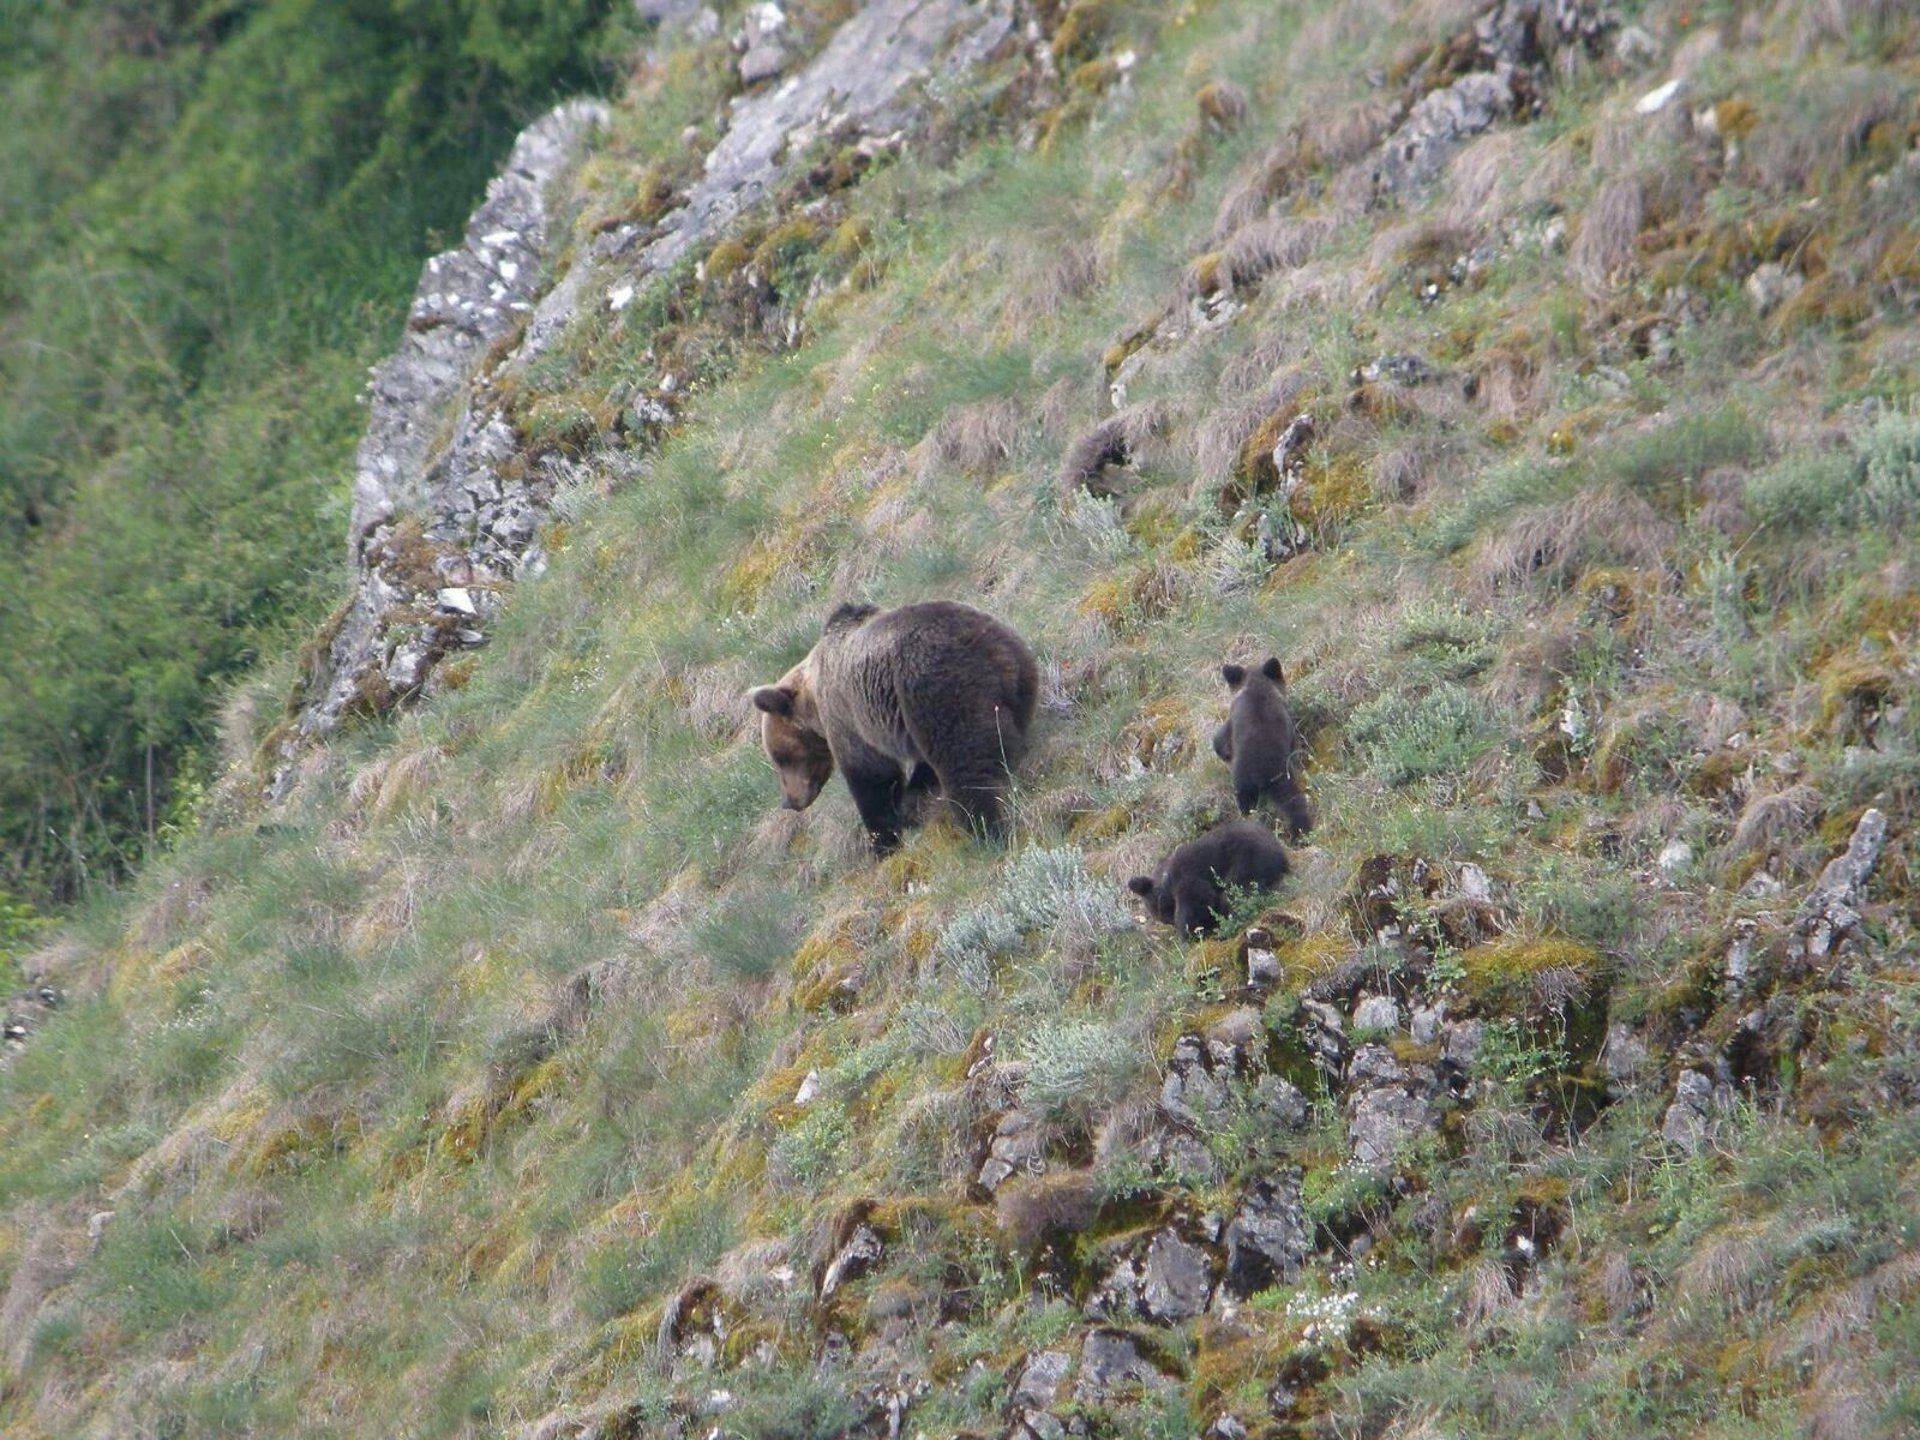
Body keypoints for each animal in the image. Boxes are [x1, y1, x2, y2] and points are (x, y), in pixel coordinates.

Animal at [744, 599, 1036, 852]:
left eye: (780, 758)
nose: (790, 802)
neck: (813, 701)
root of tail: (980, 640)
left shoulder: (847, 717)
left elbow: (871, 776)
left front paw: (882, 840)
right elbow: (918, 767)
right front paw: (911, 804)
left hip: (935, 685)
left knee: (963, 760)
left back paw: (984, 828)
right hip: (1019, 675)